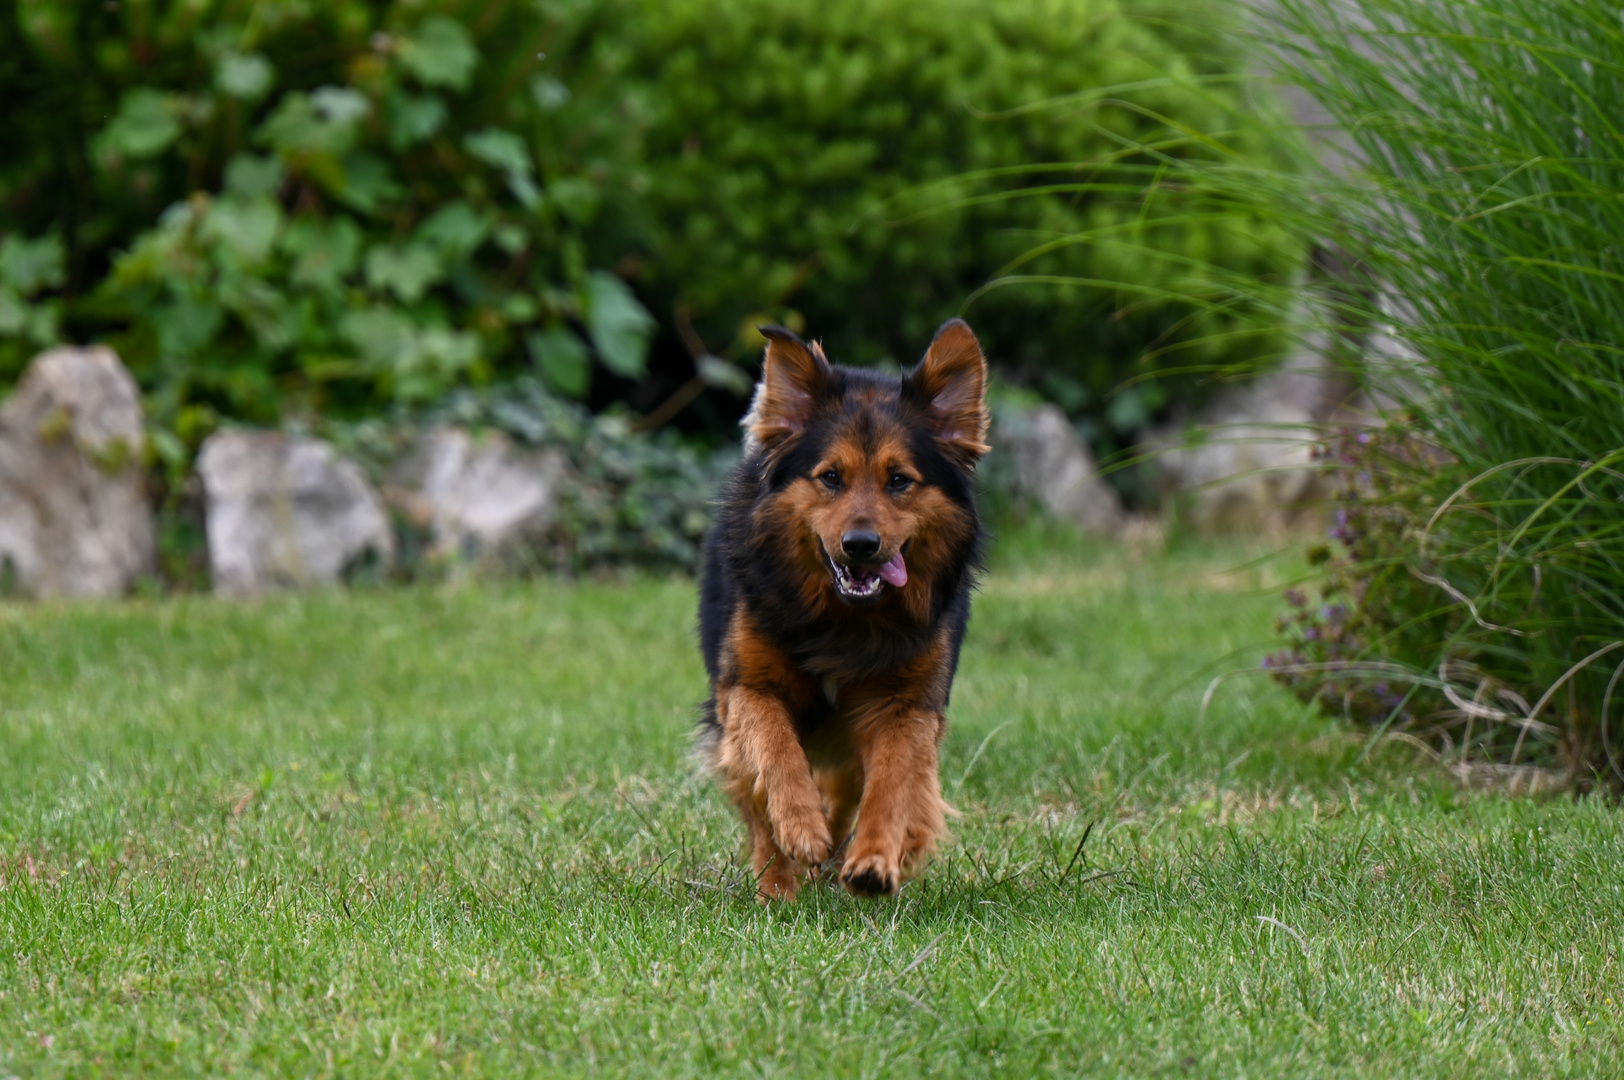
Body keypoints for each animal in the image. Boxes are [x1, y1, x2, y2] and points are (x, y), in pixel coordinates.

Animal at [691, 319, 980, 902]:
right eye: (830, 478)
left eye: (899, 480)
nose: (861, 545)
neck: (844, 619)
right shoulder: (746, 687)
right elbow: (774, 749)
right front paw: (800, 827)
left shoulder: (906, 703)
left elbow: (893, 780)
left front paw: (875, 859)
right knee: (756, 800)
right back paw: (778, 884)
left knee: (848, 787)